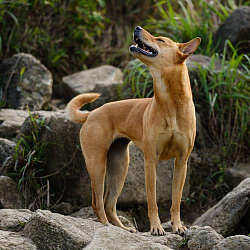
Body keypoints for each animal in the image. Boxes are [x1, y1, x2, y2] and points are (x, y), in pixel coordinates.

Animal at [65, 26, 200, 235]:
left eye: (160, 39)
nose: (137, 28)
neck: (170, 103)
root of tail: (91, 114)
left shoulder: (181, 162)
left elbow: (176, 201)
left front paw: (177, 226)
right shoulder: (151, 161)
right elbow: (152, 200)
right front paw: (156, 227)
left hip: (120, 166)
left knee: (109, 203)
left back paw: (123, 229)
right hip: (97, 165)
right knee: (98, 202)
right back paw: (106, 227)